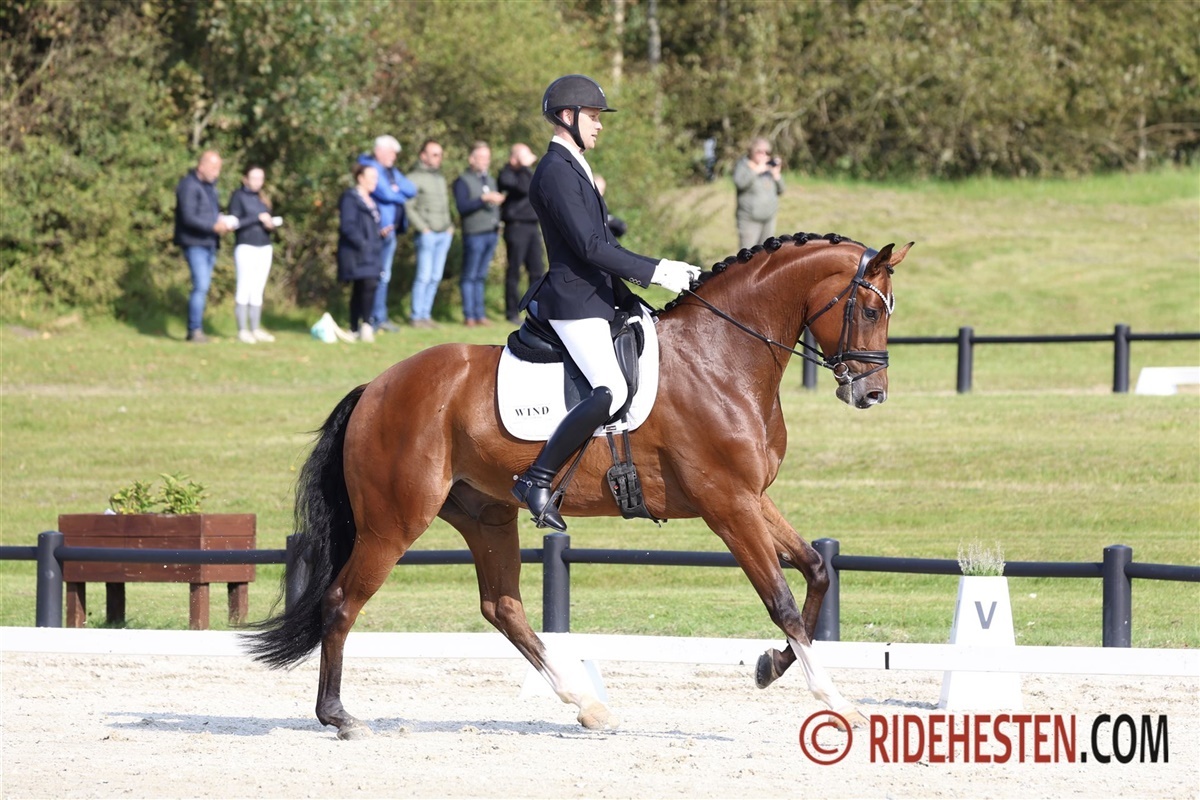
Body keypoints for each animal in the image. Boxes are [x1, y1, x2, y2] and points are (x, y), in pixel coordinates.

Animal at [245, 232, 912, 740]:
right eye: (869, 310)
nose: (872, 394)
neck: (722, 356)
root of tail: (377, 388)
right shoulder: (728, 504)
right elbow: (780, 599)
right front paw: (835, 700)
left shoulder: (753, 498)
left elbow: (817, 571)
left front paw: (771, 666)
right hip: (394, 520)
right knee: (342, 601)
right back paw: (339, 717)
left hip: (485, 512)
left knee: (502, 606)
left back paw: (587, 704)